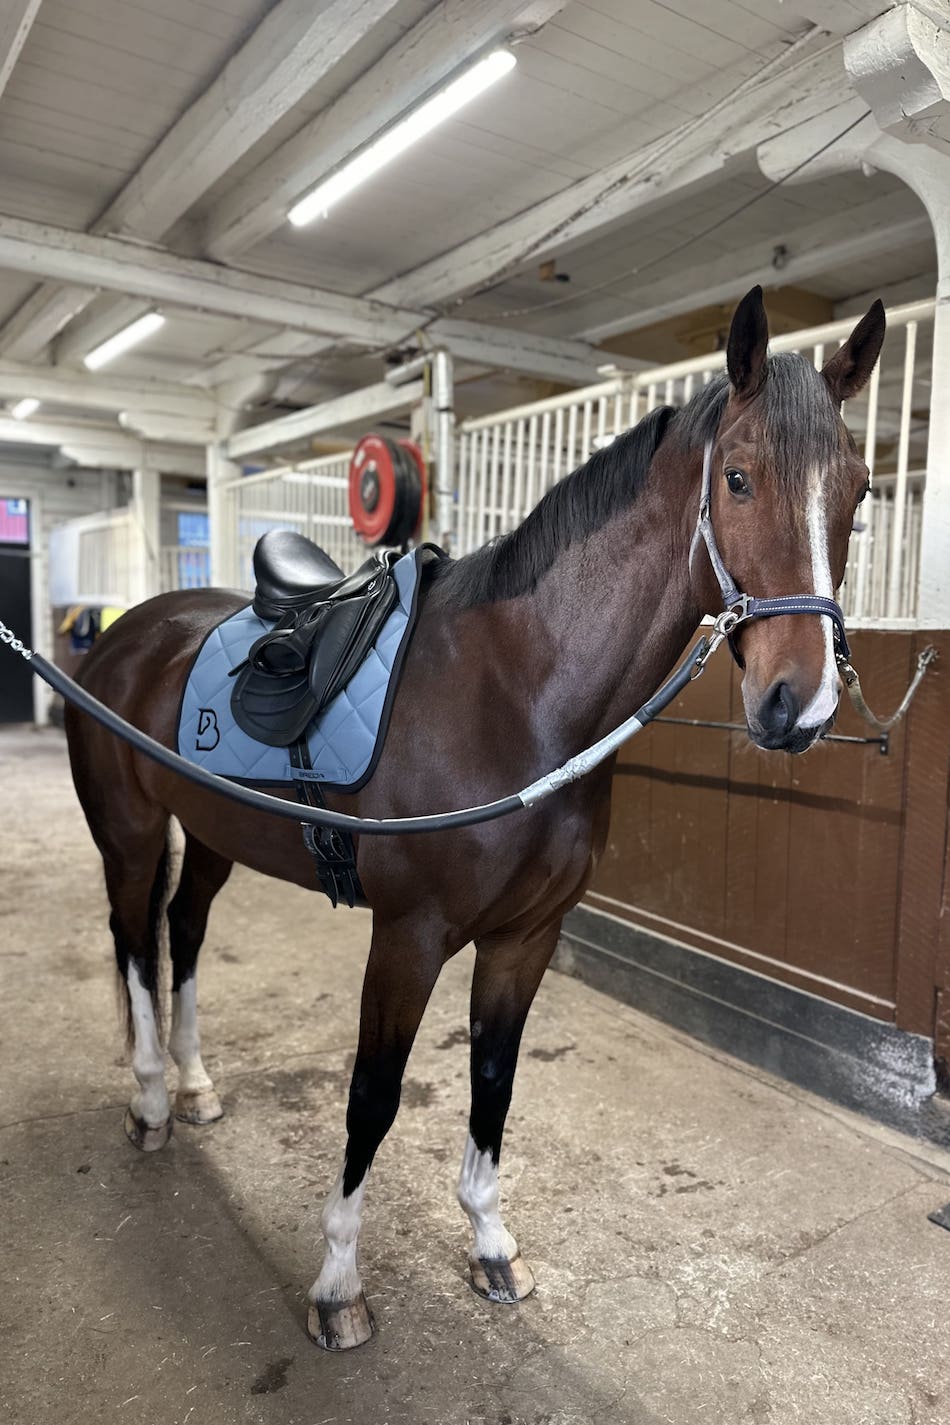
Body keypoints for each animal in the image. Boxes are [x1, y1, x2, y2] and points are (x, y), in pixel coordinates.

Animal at [65, 286, 883, 1345]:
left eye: (859, 492)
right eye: (738, 478)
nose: (801, 704)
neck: (517, 693)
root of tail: (124, 631)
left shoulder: (526, 937)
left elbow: (494, 1082)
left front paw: (492, 1244)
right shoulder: (407, 937)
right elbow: (372, 1097)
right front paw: (337, 1285)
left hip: (209, 836)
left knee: (184, 930)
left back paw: (198, 1087)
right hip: (128, 836)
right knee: (133, 941)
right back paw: (153, 1101)